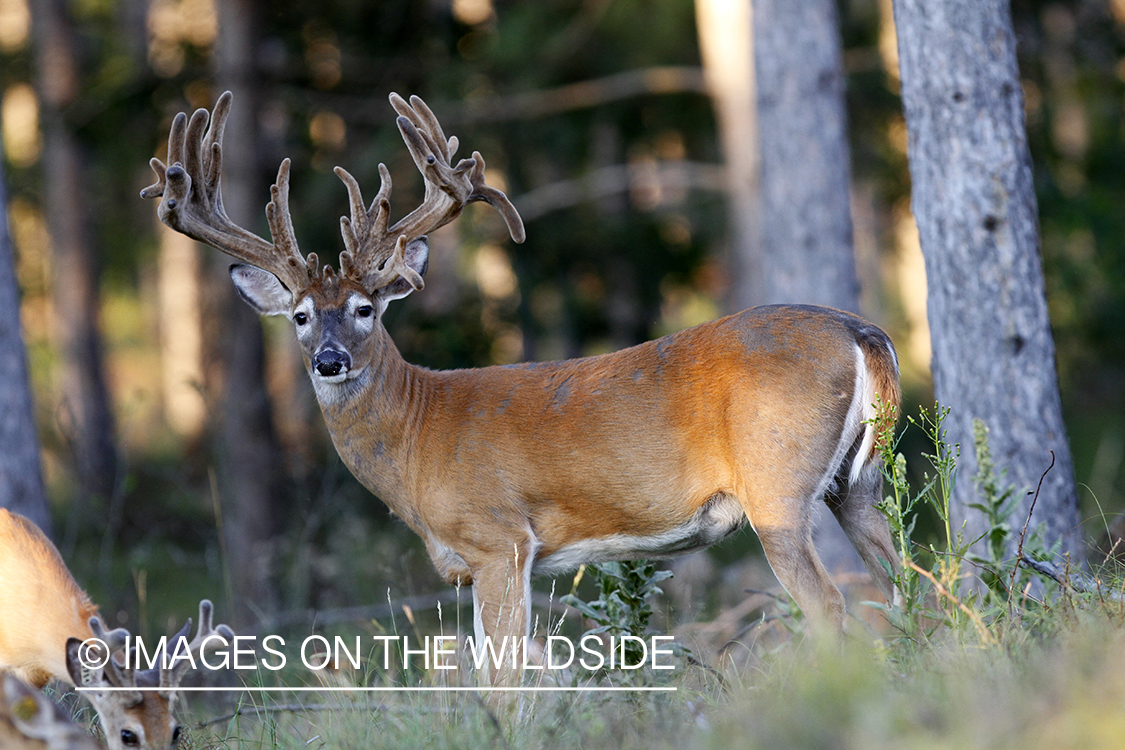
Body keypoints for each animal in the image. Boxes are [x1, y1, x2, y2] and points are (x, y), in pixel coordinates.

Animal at [142, 91, 904, 683]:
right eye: (300, 316)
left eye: (365, 309)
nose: (329, 362)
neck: (416, 437)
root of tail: (860, 331)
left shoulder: (498, 538)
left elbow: (505, 678)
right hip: (857, 484)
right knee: (905, 583)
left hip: (775, 484)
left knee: (832, 606)